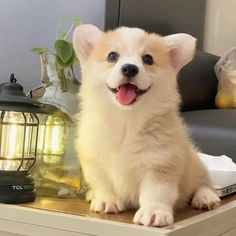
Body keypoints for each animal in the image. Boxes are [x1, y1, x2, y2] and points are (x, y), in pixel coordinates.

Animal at [73, 24, 220, 227]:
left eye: (148, 59)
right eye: (112, 56)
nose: (129, 69)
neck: (126, 120)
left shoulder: (161, 163)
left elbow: (156, 192)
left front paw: (154, 213)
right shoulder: (95, 159)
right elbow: (103, 183)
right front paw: (106, 201)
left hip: (195, 164)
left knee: (203, 184)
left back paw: (206, 197)